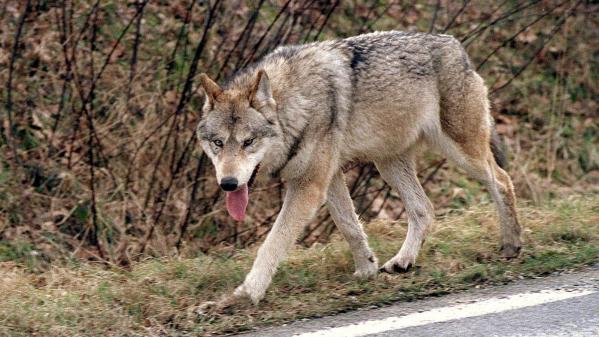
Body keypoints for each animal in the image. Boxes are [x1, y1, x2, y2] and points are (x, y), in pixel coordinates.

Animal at [196, 30, 520, 304]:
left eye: (248, 142)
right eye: (218, 143)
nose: (227, 183)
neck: (295, 104)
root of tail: (455, 45)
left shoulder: (309, 185)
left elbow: (273, 242)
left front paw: (246, 294)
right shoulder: (329, 178)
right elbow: (349, 226)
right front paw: (367, 269)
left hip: (462, 154)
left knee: (503, 181)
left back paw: (512, 244)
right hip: (389, 164)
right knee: (424, 209)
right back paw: (402, 261)